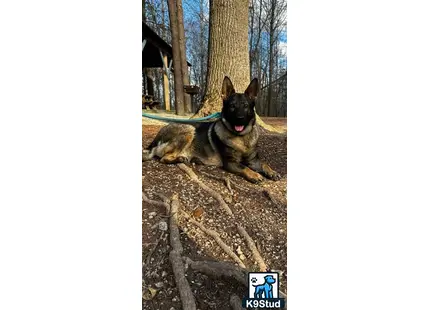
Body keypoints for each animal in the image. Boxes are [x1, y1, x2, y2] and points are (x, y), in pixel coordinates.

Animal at [143, 77, 280, 183]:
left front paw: (272, 171)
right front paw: (255, 175)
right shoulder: (230, 162)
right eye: (232, 106)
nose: (239, 119)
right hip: (189, 129)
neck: (241, 137)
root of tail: (155, 140)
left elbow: (264, 164)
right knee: (163, 158)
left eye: (246, 106)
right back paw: (180, 159)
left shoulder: (253, 161)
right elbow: (244, 167)